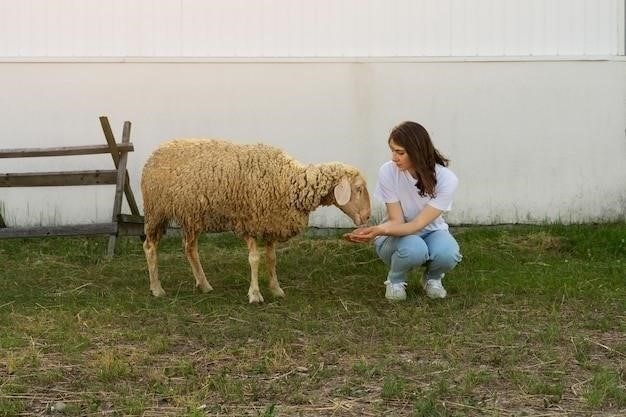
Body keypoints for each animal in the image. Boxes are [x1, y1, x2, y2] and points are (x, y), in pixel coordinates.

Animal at [140, 139, 370, 302]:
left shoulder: (271, 225)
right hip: (156, 212)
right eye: (358, 189)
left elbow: (272, 259)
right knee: (150, 247)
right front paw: (255, 294)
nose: (367, 216)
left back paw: (204, 285)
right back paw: (157, 288)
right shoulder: (248, 223)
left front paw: (276, 289)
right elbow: (254, 259)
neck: (289, 182)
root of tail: (157, 151)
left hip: (191, 216)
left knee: (190, 248)